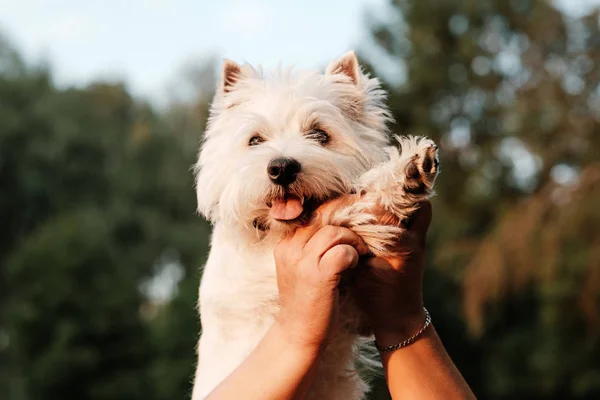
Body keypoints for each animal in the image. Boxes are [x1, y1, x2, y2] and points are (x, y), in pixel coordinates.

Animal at [193, 51, 440, 398]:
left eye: (320, 135)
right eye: (254, 140)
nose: (282, 168)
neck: (280, 233)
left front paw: (405, 175)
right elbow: (341, 212)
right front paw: (390, 193)